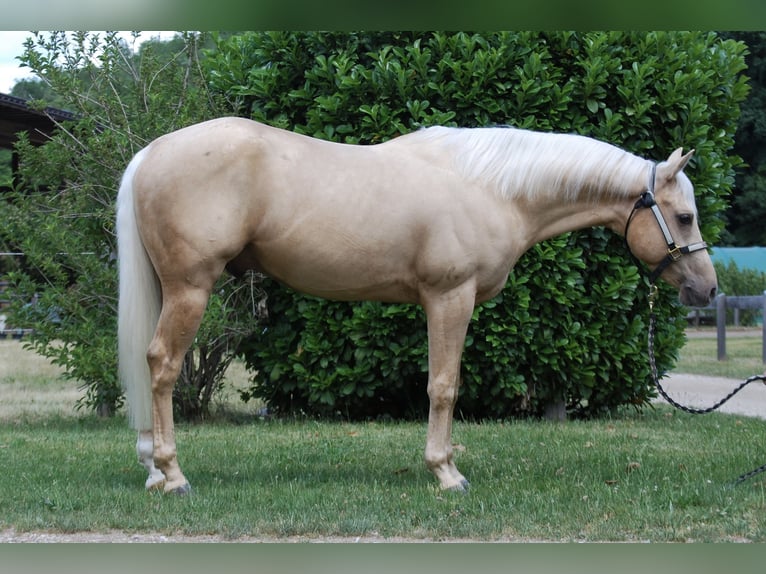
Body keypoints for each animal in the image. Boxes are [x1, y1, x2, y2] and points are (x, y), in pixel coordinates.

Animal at [116, 117, 717, 494]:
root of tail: (150, 154)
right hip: (190, 289)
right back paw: (172, 475)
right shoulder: (450, 297)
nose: (707, 290)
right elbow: (443, 385)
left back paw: (151, 468)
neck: (493, 189)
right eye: (685, 216)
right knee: (163, 366)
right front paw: (446, 473)